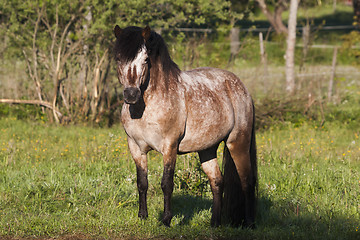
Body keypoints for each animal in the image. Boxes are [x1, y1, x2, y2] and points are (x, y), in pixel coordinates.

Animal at [114, 25, 258, 228]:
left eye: (146, 59)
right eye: (118, 59)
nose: (131, 95)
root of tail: (242, 88)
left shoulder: (170, 146)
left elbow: (166, 183)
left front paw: (166, 220)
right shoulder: (136, 147)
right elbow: (142, 183)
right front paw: (142, 216)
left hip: (238, 143)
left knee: (247, 181)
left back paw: (250, 223)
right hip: (207, 149)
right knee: (217, 181)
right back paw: (214, 223)